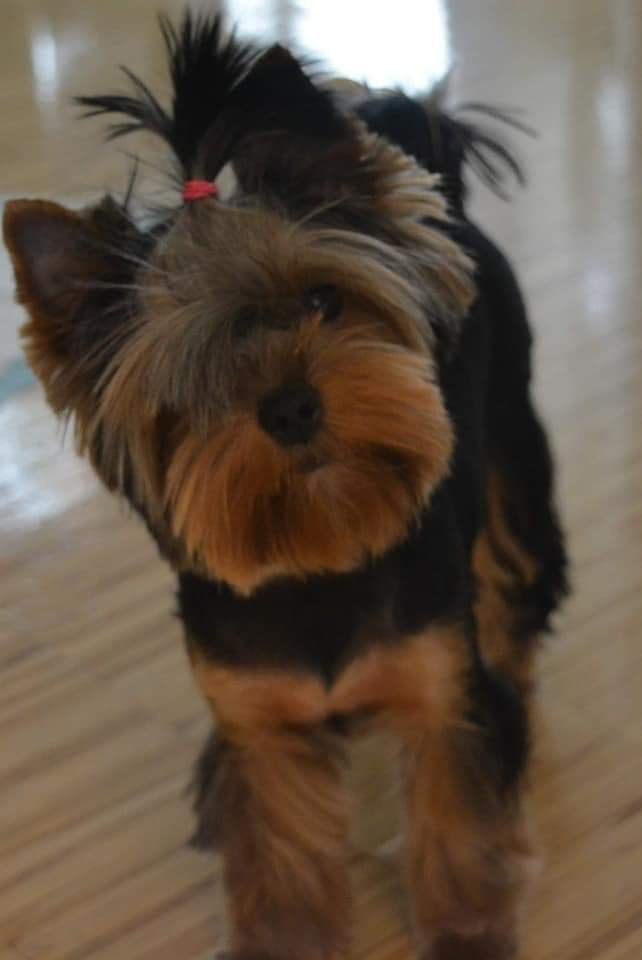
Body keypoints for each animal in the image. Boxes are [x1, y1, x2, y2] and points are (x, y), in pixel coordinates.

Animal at [3, 11, 568, 960]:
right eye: (193, 371)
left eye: (323, 302)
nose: (293, 405)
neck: (319, 548)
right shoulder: (256, 725)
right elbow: (280, 855)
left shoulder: (438, 686)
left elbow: (456, 818)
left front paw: (466, 934)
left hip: (511, 460)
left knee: (511, 599)